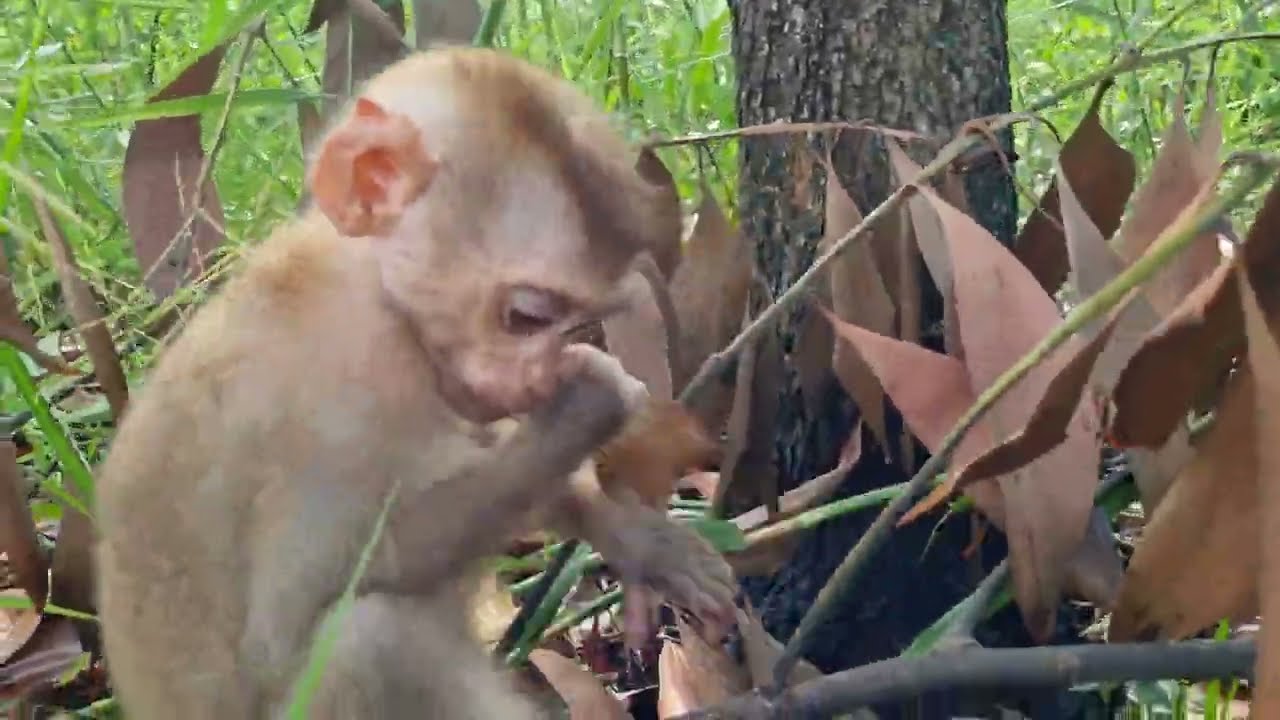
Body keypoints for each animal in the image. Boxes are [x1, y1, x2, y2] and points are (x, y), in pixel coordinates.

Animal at [93, 47, 735, 719]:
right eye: (527, 317)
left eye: (581, 318)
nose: (536, 382)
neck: (372, 286)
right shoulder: (342, 391)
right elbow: (295, 612)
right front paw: (589, 408)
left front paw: (637, 539)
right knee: (368, 639)